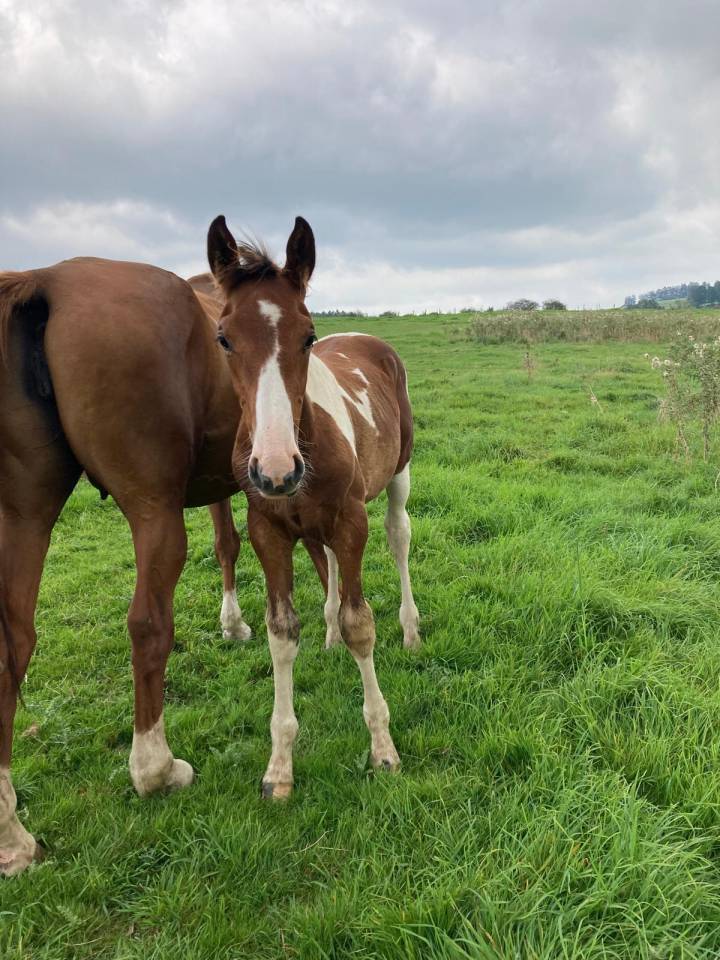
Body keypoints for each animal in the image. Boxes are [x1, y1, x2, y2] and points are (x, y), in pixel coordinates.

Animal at [0, 256, 252, 876]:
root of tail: (46, 280)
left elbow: (227, 544)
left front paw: (233, 624)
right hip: (153, 511)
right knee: (147, 626)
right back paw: (155, 770)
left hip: (25, 512)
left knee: (12, 648)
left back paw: (13, 836)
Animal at [206, 214, 420, 800]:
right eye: (223, 338)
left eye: (308, 337)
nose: (277, 469)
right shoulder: (268, 530)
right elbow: (281, 631)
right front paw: (278, 767)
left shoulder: (351, 521)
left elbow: (360, 624)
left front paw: (384, 749)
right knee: (322, 562)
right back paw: (326, 637)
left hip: (399, 471)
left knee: (399, 537)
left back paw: (411, 629)